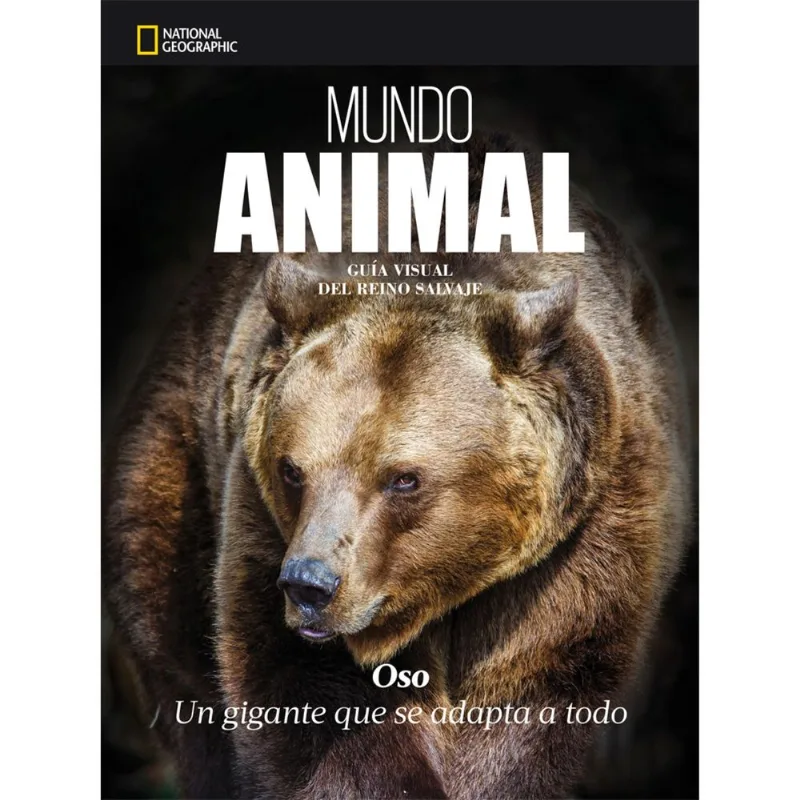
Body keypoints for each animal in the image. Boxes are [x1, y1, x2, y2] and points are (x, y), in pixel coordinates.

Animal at [103, 135, 691, 799]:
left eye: (403, 478)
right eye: (292, 470)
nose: (309, 585)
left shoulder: (586, 531)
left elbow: (540, 680)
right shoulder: (258, 516)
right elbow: (317, 704)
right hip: (171, 469)